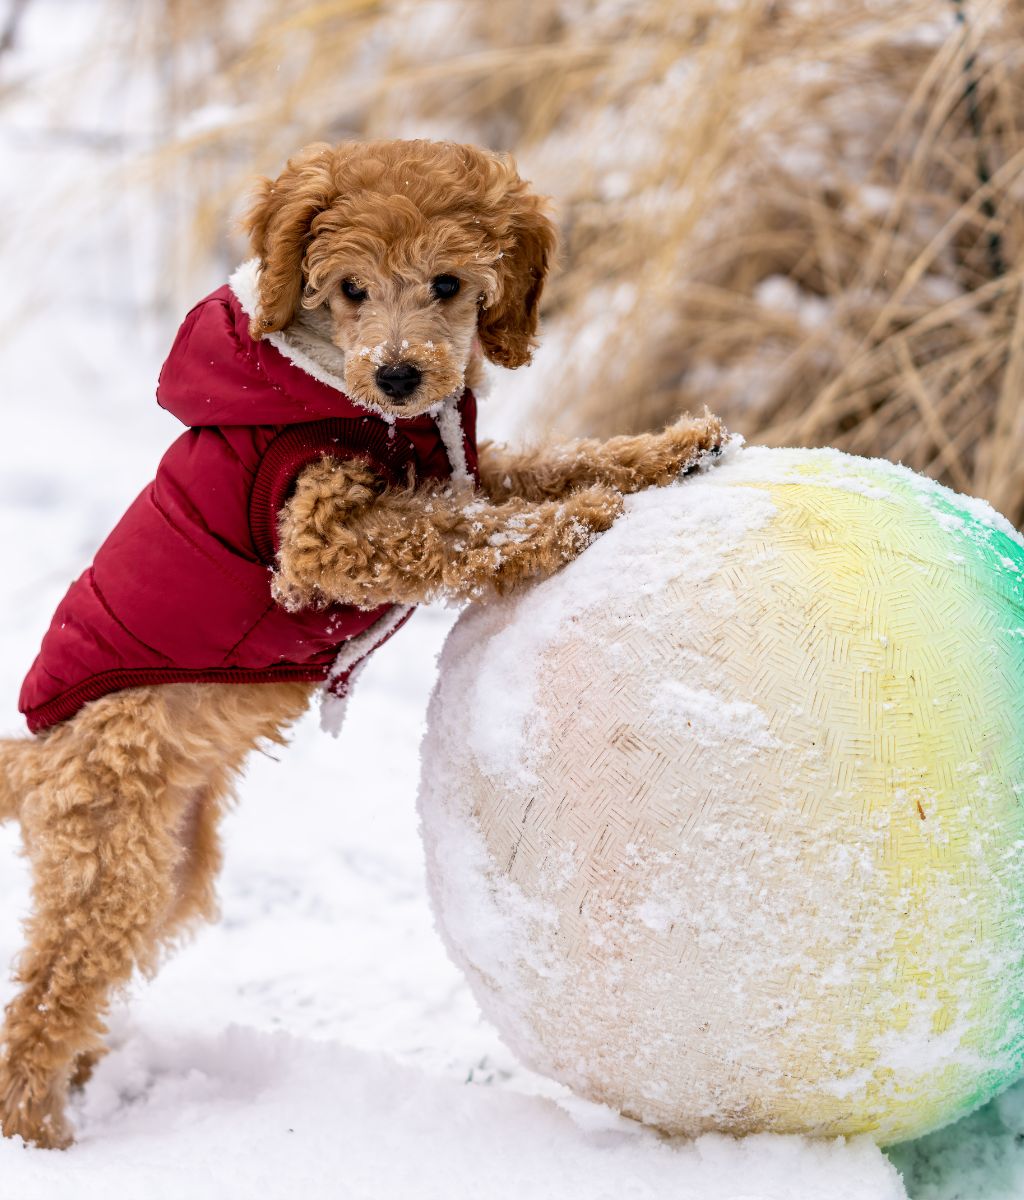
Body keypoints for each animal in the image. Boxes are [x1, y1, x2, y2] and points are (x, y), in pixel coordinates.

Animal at [0, 136, 725, 1147]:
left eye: (448, 283)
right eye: (350, 288)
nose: (398, 376)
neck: (339, 393)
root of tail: (34, 763)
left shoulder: (463, 467)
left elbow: (543, 462)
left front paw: (667, 451)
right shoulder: (318, 539)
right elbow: (456, 535)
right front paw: (575, 521)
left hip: (165, 871)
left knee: (77, 989)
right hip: (108, 861)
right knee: (41, 1004)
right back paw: (40, 1132)